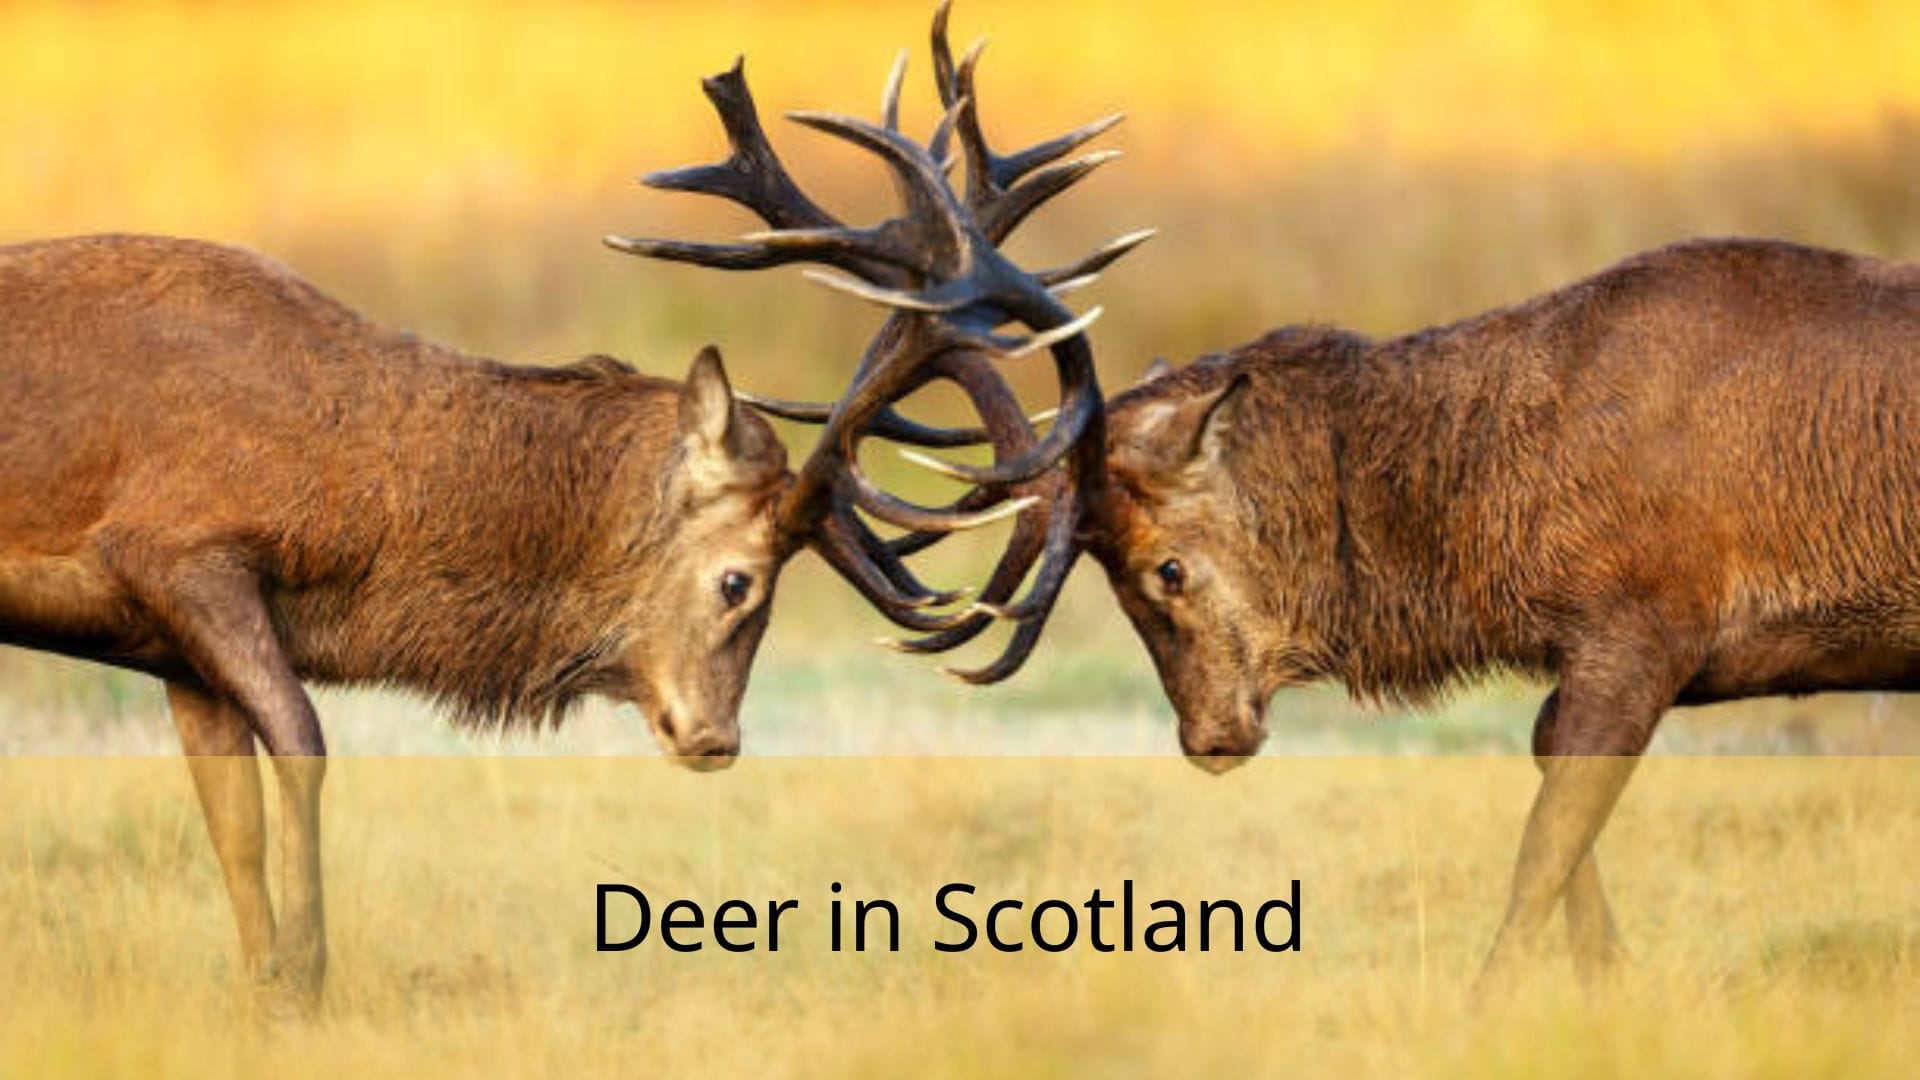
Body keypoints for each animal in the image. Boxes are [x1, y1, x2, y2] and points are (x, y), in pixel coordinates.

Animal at [0, 1, 1139, 1010]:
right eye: (738, 581)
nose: (716, 737)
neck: (346, 496)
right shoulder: (179, 548)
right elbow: (306, 742)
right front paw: (308, 984)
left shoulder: (174, 647)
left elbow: (228, 820)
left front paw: (261, 985)